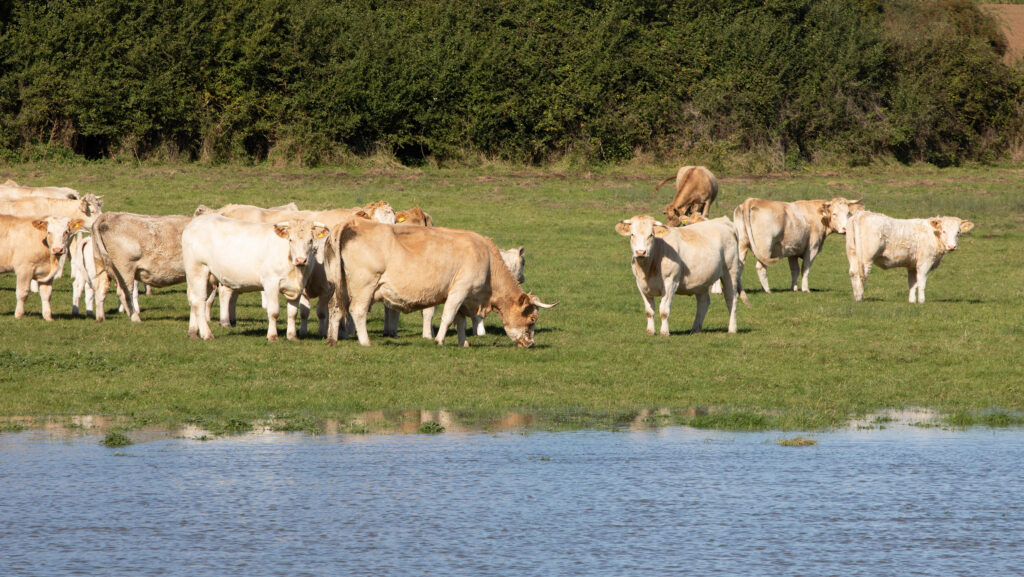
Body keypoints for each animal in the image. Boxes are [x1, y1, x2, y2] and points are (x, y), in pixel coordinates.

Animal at [182, 215, 329, 341]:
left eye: (310, 241)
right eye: (290, 240)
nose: (301, 260)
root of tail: (194, 223)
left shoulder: (298, 287)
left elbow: (292, 313)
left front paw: (292, 336)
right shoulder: (271, 283)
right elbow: (274, 311)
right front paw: (272, 336)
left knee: (193, 300)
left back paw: (193, 332)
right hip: (198, 269)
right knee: (199, 301)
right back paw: (207, 334)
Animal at [323, 219, 557, 347]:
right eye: (532, 319)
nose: (530, 343)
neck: (487, 258)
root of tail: (352, 223)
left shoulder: (465, 297)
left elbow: (460, 321)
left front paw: (464, 343)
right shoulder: (459, 290)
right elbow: (448, 316)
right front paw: (439, 340)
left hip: (337, 286)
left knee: (335, 308)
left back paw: (332, 339)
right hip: (365, 285)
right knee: (358, 311)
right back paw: (365, 341)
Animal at [616, 215, 747, 335]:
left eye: (651, 235)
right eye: (632, 234)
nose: (640, 252)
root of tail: (723, 220)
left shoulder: (670, 282)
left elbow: (664, 310)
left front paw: (664, 332)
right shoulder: (641, 284)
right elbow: (649, 311)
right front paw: (650, 331)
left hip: (730, 271)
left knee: (731, 298)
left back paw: (732, 328)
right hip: (702, 280)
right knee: (703, 302)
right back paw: (695, 329)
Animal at [733, 197, 862, 294]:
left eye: (848, 213)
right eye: (834, 214)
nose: (845, 229)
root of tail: (751, 201)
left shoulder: (792, 250)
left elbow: (794, 269)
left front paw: (794, 288)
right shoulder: (812, 248)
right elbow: (805, 268)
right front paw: (805, 289)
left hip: (741, 246)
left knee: (738, 265)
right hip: (765, 247)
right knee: (760, 267)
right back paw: (767, 290)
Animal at [845, 211, 975, 303]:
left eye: (958, 232)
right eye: (944, 231)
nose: (952, 246)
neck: (933, 234)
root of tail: (861, 214)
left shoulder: (912, 266)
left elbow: (912, 283)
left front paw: (912, 301)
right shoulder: (925, 262)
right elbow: (921, 282)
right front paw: (921, 301)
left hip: (852, 254)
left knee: (853, 273)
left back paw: (856, 296)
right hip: (866, 258)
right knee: (862, 274)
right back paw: (860, 297)